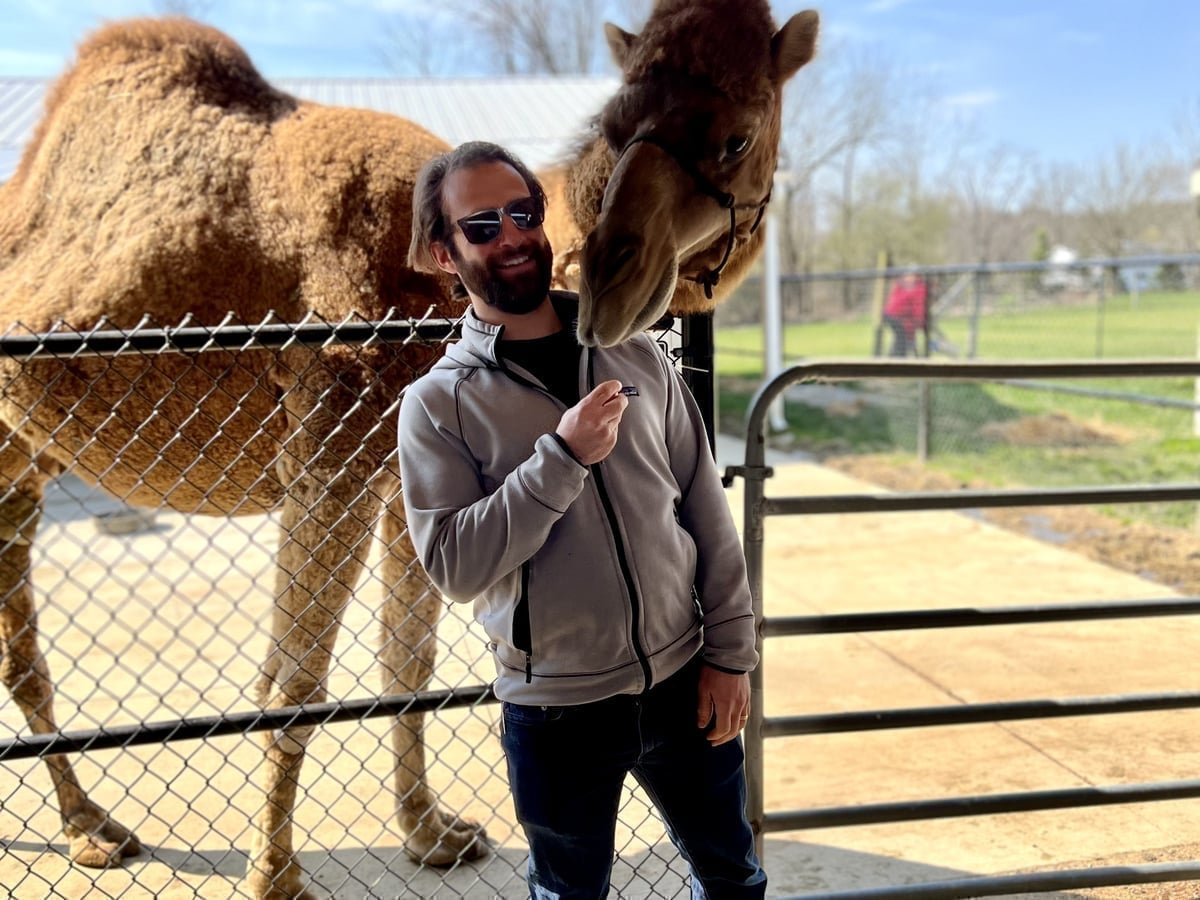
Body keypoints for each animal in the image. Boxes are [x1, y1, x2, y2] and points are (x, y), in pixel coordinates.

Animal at [0, 4, 817, 899]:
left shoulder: (403, 484)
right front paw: (276, 876)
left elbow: (407, 659)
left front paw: (431, 836)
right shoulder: (332, 453)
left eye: (738, 136)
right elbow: (294, 679)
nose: (612, 273)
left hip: (26, 459)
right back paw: (96, 831)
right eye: (614, 123)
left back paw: (89, 827)